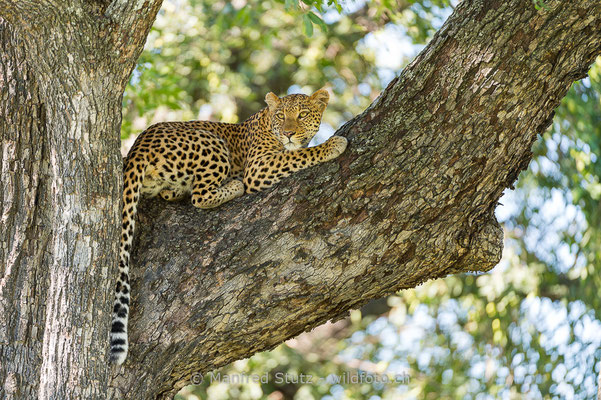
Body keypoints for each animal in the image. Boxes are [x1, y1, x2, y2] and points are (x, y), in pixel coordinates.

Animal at [109, 88, 346, 366]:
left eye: (303, 114)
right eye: (281, 116)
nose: (288, 133)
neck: (268, 124)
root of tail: (139, 143)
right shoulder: (258, 168)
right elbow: (297, 155)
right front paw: (332, 145)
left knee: (174, 193)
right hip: (211, 142)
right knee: (200, 196)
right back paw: (234, 186)